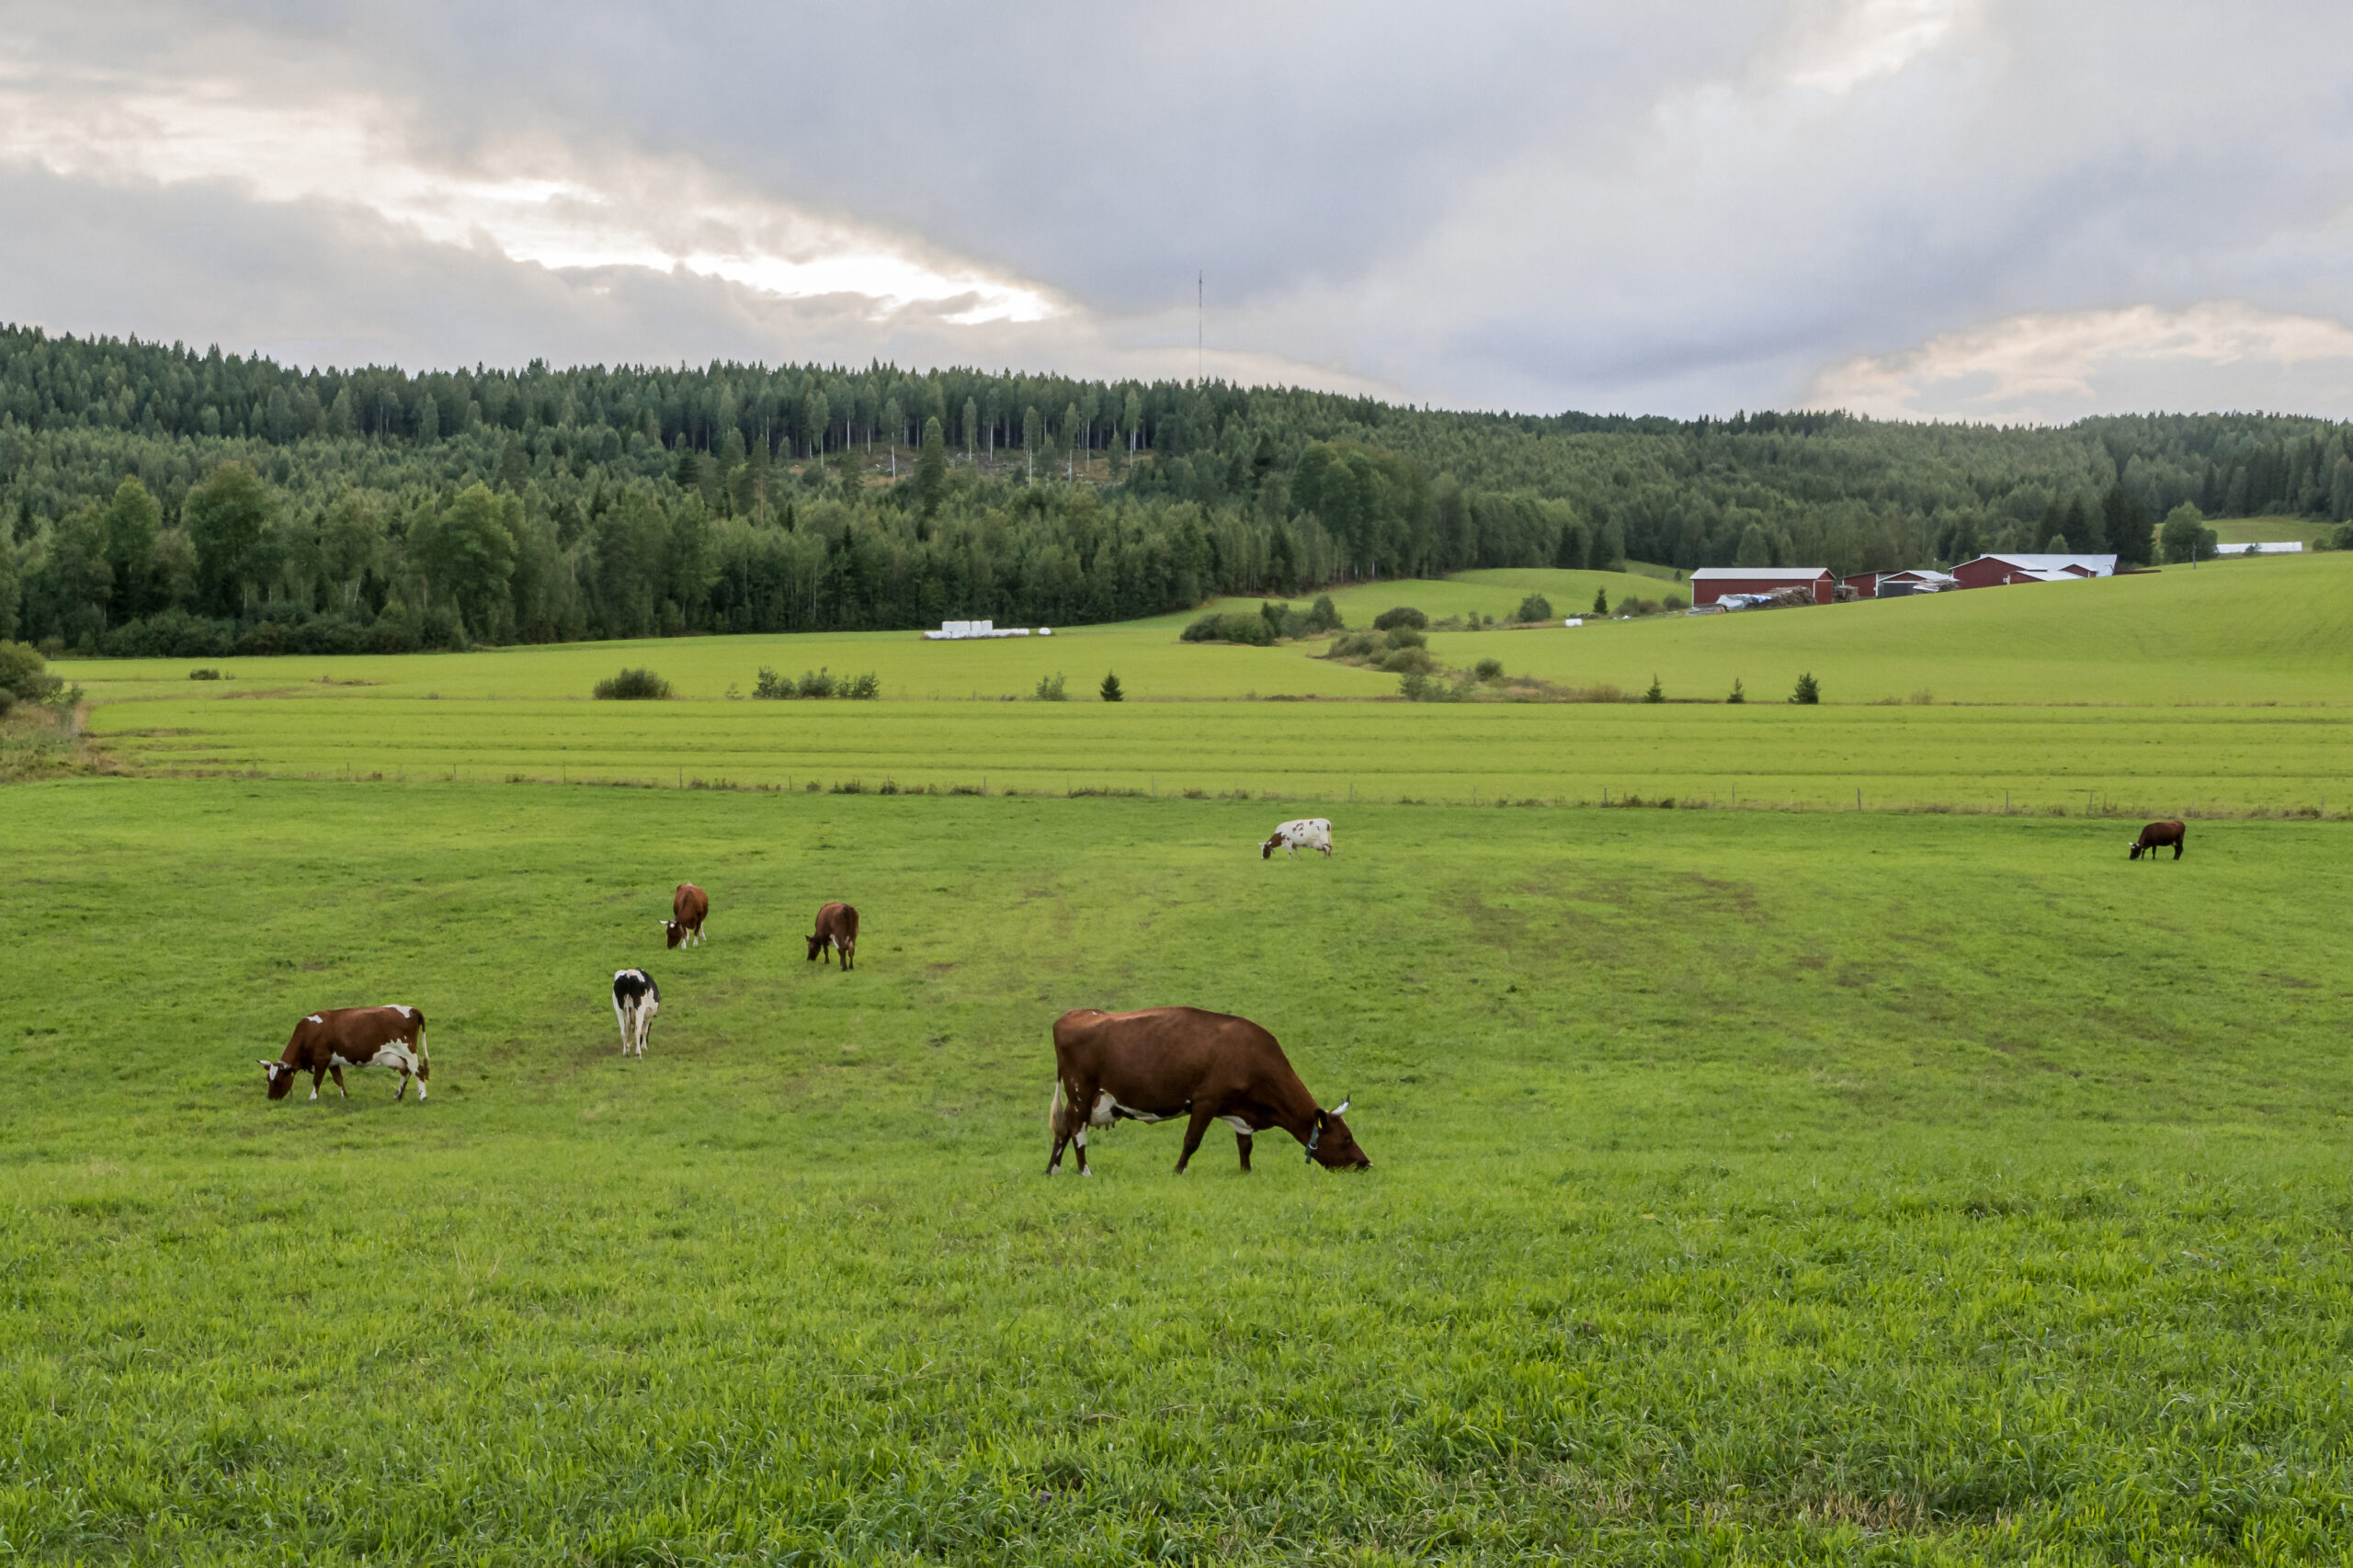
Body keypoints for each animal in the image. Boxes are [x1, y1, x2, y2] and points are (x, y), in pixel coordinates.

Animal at [262, 1003, 433, 1096]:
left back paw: (422, 1096)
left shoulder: (321, 1059)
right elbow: (339, 1079)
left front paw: (313, 1098)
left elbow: (317, 1080)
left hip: (408, 1052)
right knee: (406, 1072)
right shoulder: (332, 1062)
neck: (309, 1032)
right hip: (399, 1057)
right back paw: (398, 1096)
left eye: (277, 1080)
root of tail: (410, 1009)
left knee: (419, 1071)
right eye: (268, 1080)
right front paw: (345, 1096)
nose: (271, 1098)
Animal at [1044, 1003, 1364, 1172]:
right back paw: (1084, 1172)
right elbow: (1191, 1141)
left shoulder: (1240, 1113)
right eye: (1346, 1138)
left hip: (1080, 1098)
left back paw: (1052, 1172)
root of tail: (1072, 1015)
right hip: (1081, 1091)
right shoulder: (1206, 1102)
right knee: (1077, 1131)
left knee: (1063, 1130)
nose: (1366, 1163)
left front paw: (1246, 1173)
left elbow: (1245, 1146)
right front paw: (1177, 1172)